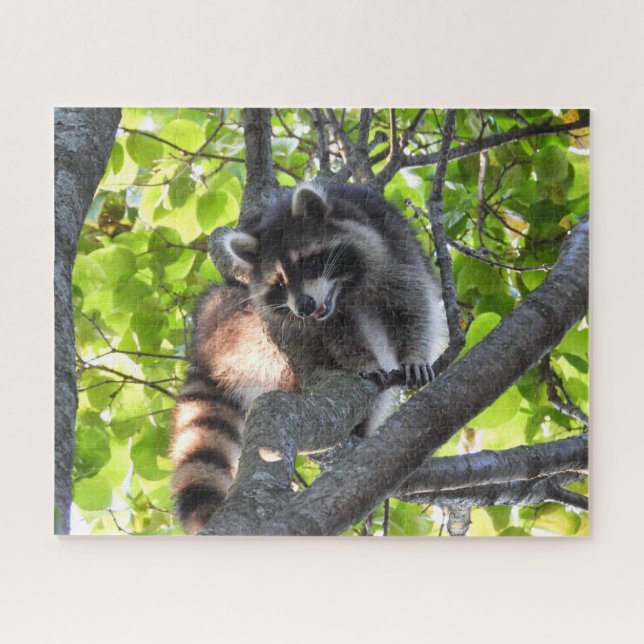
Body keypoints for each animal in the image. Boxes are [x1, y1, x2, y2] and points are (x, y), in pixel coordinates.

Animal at [171, 183, 448, 533]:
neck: (343, 289)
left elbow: (413, 304)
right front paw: (362, 361)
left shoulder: (393, 244)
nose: (303, 306)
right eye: (279, 282)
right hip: (241, 328)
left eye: (305, 262)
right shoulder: (316, 318)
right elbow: (341, 336)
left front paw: (415, 355)